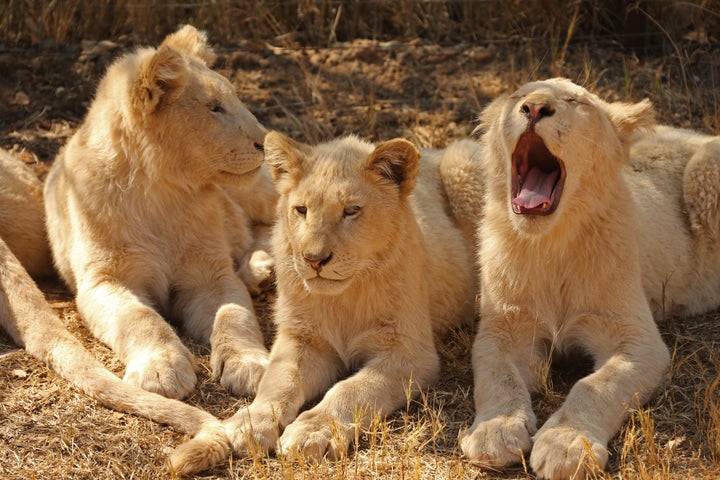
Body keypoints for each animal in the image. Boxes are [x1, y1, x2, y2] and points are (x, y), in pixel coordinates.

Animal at [44, 24, 276, 404]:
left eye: (234, 100)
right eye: (214, 108)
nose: (265, 143)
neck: (161, 194)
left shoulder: (209, 273)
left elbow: (234, 315)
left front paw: (252, 365)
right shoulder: (103, 281)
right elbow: (140, 318)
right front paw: (161, 369)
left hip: (259, 189)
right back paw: (258, 271)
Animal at [205, 133, 484, 464]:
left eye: (351, 210)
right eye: (301, 210)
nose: (314, 259)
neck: (342, 299)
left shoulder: (411, 354)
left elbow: (352, 389)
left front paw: (312, 431)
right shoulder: (302, 339)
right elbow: (279, 380)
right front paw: (250, 423)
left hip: (462, 161)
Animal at [462, 77, 720, 478]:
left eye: (574, 101)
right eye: (518, 96)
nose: (534, 108)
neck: (552, 245)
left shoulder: (636, 339)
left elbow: (596, 386)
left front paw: (567, 445)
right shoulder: (503, 328)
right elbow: (497, 375)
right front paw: (495, 431)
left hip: (705, 167)